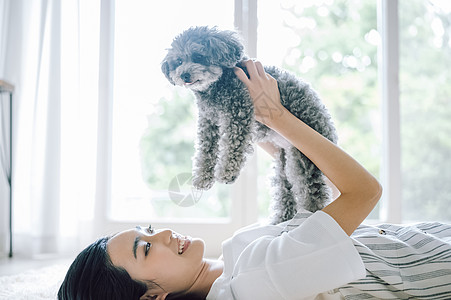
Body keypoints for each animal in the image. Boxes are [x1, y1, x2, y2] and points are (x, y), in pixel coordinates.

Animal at [162, 26, 340, 223]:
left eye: (198, 56)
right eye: (178, 61)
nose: (183, 75)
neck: (215, 88)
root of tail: (329, 127)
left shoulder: (238, 112)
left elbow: (232, 147)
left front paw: (227, 172)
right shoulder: (208, 122)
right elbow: (205, 151)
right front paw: (202, 178)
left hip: (303, 159)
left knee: (313, 192)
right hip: (282, 165)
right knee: (285, 190)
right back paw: (281, 218)